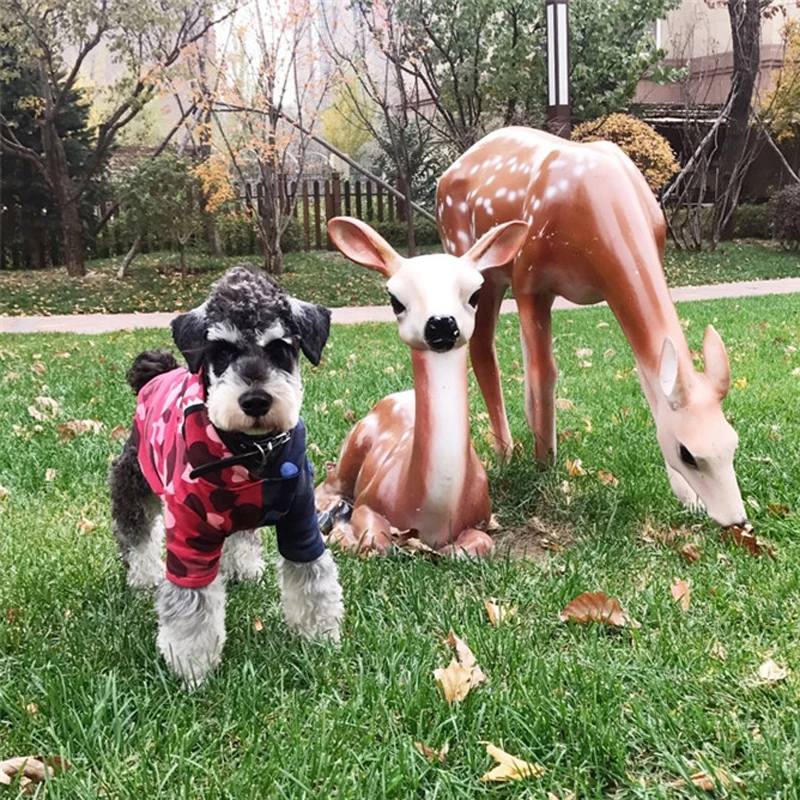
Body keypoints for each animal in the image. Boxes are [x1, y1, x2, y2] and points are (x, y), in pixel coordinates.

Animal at [109, 268, 344, 688]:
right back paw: (143, 575)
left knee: (241, 533)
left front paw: (319, 638)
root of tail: (154, 374)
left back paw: (246, 567)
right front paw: (192, 666)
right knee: (136, 534)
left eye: (279, 348)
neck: (251, 452)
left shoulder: (302, 526)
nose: (255, 401)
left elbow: (313, 581)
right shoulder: (189, 544)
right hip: (132, 482)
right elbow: (191, 606)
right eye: (221, 351)